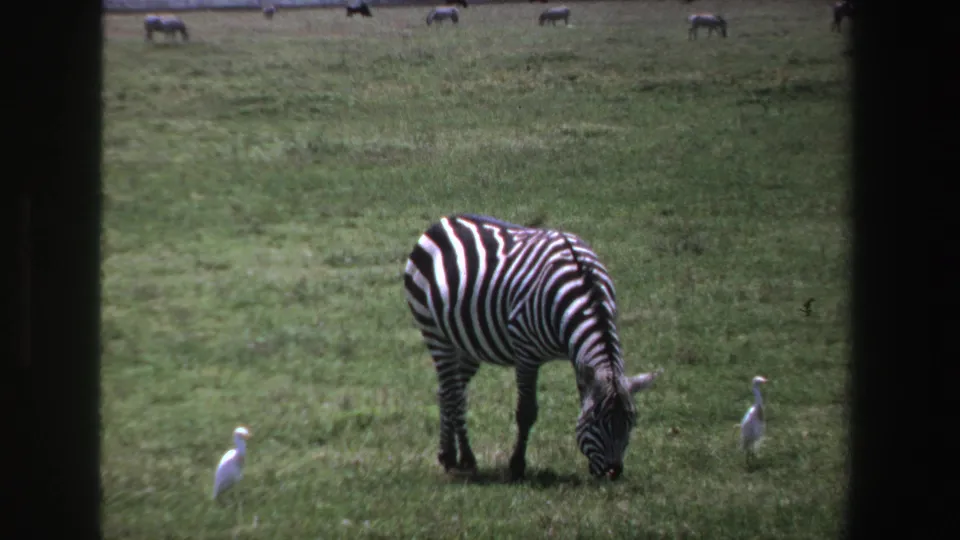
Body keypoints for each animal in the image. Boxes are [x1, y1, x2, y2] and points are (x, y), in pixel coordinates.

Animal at [404, 214, 663, 481]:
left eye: (631, 421)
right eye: (596, 420)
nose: (613, 473)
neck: (584, 290)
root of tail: (443, 221)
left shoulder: (579, 359)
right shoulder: (526, 352)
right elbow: (526, 411)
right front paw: (517, 465)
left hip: (466, 343)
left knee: (450, 392)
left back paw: (452, 455)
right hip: (435, 332)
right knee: (452, 393)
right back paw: (460, 458)